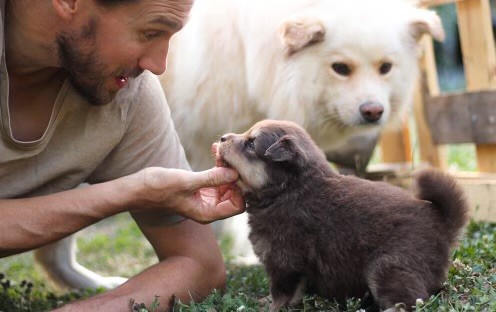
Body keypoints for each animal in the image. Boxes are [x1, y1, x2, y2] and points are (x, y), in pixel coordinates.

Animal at [213, 120, 468, 312]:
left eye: (250, 144)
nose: (222, 137)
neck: (288, 190)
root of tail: (441, 222)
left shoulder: (285, 262)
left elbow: (282, 293)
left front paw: (272, 307)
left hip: (388, 266)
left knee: (408, 300)